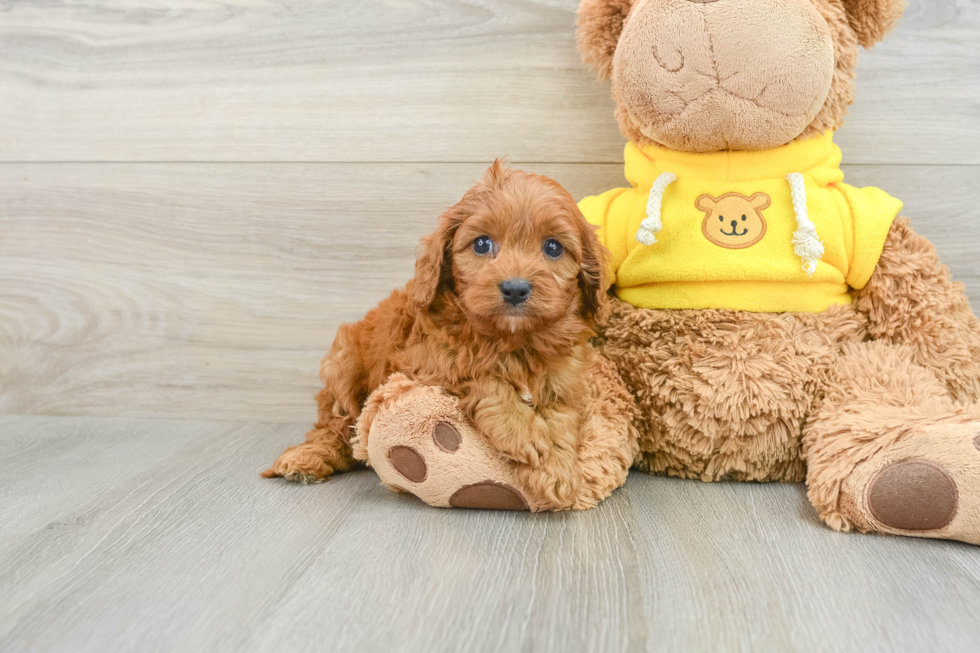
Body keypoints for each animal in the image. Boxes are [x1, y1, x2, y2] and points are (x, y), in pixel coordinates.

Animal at [264, 160, 608, 506]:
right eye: (482, 244)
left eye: (553, 247)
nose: (515, 288)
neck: (512, 339)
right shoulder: (425, 360)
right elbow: (481, 374)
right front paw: (523, 433)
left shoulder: (564, 379)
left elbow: (561, 416)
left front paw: (557, 468)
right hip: (344, 366)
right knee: (334, 425)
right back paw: (306, 458)